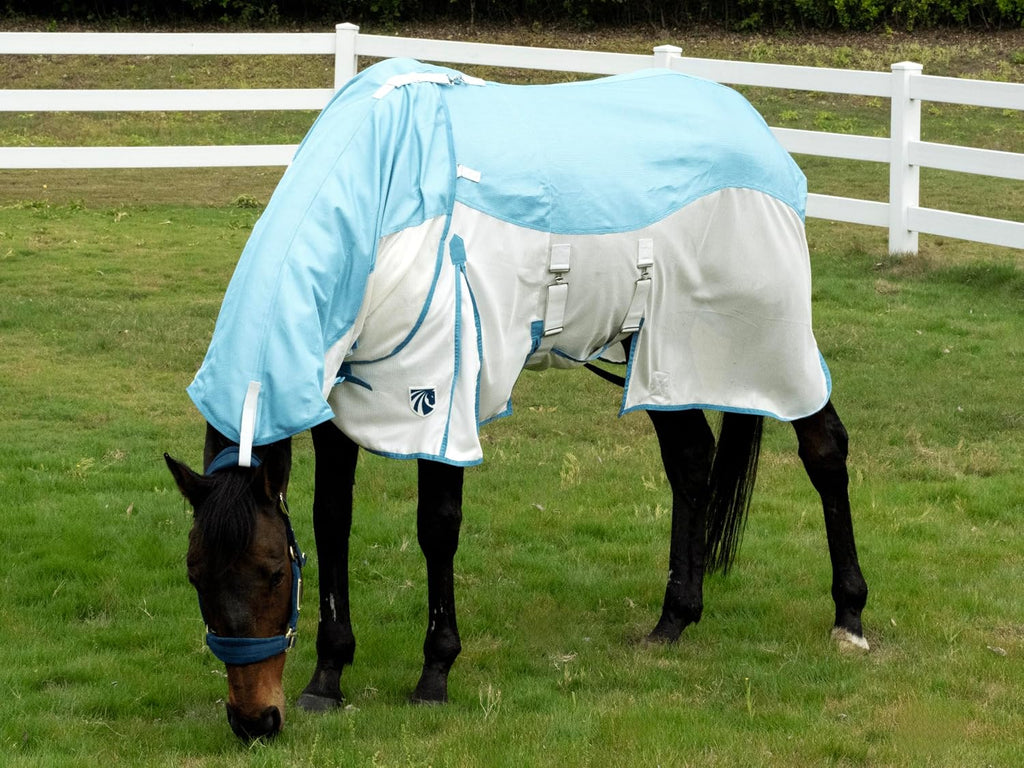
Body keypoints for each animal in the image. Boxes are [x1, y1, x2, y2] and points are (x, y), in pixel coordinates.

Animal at [165, 58, 869, 741]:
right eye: (196, 574)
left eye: (271, 573)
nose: (254, 722)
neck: (379, 199)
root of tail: (759, 133)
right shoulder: (336, 405)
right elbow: (331, 519)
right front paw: (327, 679)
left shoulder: (440, 398)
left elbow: (436, 527)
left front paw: (435, 674)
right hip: (662, 361)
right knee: (692, 463)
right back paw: (673, 620)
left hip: (767, 347)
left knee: (823, 448)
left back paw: (850, 618)